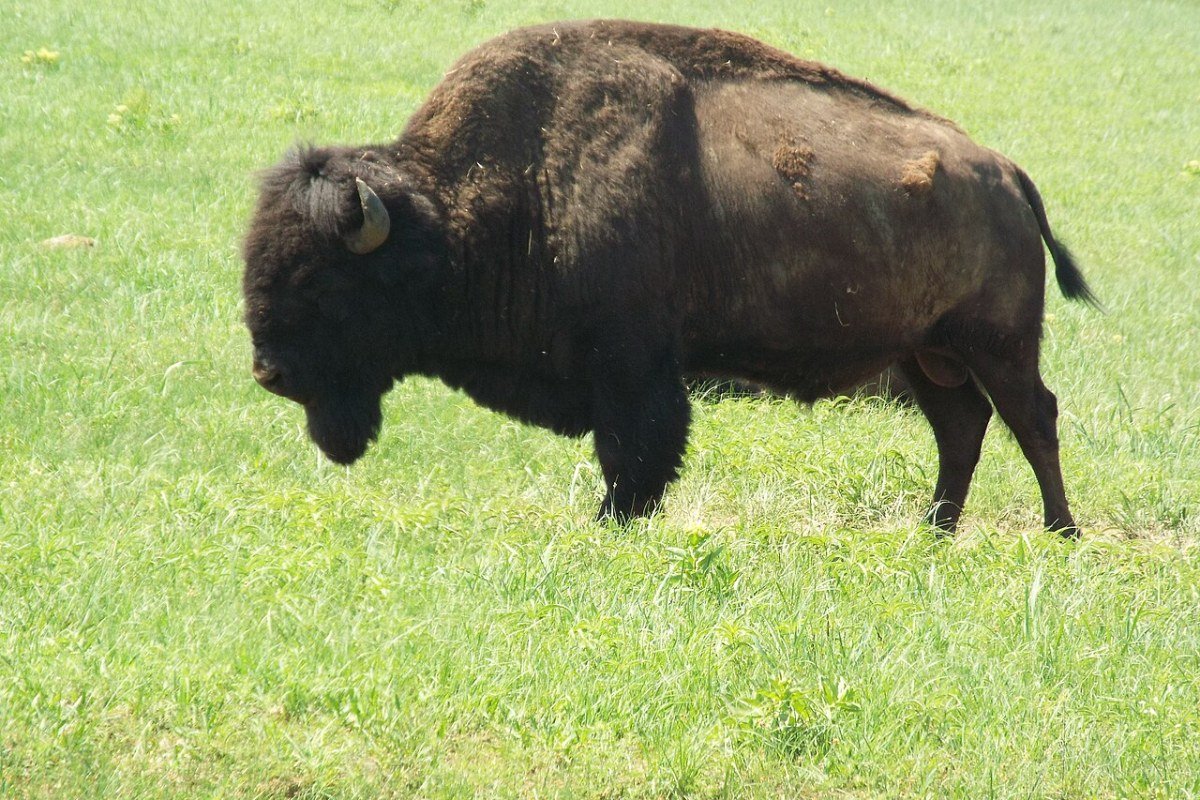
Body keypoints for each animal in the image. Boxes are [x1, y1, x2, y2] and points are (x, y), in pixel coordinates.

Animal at [242, 20, 1097, 534]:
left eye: (323, 282)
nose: (269, 372)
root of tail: (1005, 173)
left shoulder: (633, 363)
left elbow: (636, 451)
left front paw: (613, 522)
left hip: (997, 345)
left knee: (1032, 418)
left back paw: (1060, 530)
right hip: (925, 354)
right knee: (963, 427)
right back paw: (935, 530)